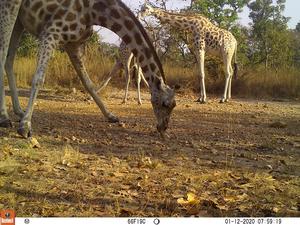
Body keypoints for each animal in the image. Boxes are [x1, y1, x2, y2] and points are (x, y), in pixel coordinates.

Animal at [4, 0, 176, 138]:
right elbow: (39, 78)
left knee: (8, 60)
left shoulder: (72, 44)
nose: (163, 128)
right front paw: (25, 126)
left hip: (20, 21)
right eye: (165, 104)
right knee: (3, 54)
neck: (94, 12)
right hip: (12, 7)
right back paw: (5, 118)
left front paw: (111, 116)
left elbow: (88, 83)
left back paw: (17, 112)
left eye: (174, 105)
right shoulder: (50, 33)